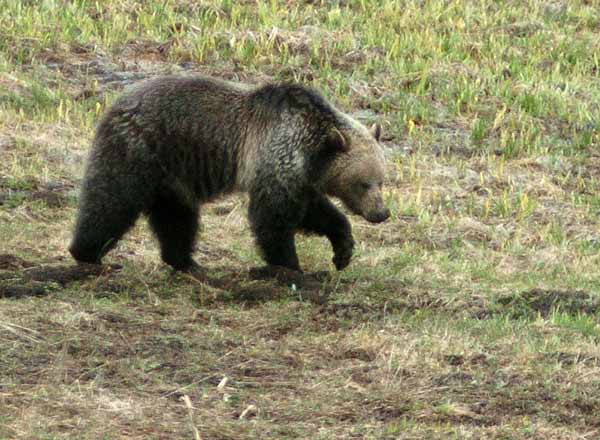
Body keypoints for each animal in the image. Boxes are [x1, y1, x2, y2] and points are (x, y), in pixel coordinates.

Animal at [69, 75, 390, 272]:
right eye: (363, 183)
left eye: (382, 181)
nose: (381, 213)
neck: (311, 150)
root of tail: (116, 103)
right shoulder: (275, 160)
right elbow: (273, 219)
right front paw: (290, 266)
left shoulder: (299, 178)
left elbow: (317, 212)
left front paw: (343, 251)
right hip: (138, 151)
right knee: (111, 202)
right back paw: (87, 253)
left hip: (173, 178)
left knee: (177, 218)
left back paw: (186, 261)